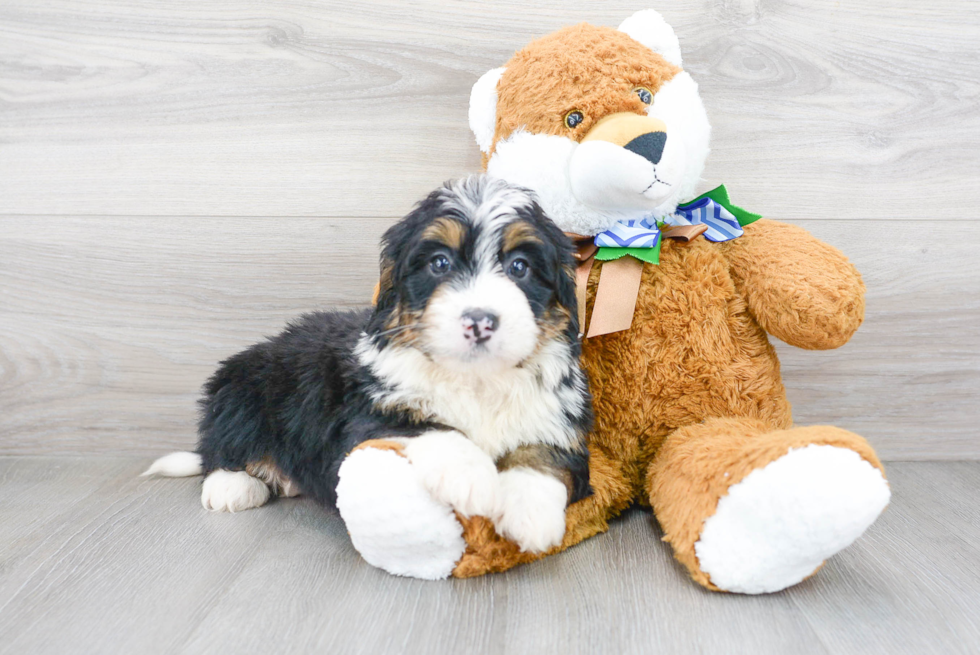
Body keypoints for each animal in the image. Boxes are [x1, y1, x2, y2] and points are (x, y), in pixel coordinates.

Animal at [143, 177, 592, 556]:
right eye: (440, 264)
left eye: (520, 267)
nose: (480, 319)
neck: (475, 379)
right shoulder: (364, 414)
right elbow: (426, 424)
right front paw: (472, 477)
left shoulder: (559, 419)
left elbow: (542, 454)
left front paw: (530, 513)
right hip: (241, 386)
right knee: (221, 446)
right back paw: (233, 485)